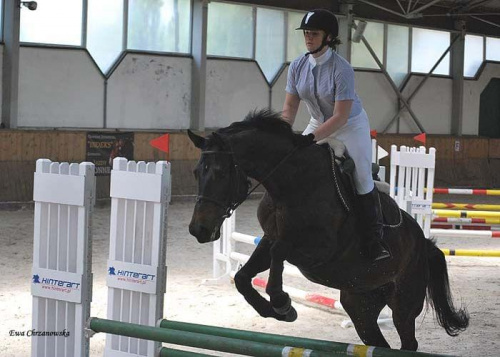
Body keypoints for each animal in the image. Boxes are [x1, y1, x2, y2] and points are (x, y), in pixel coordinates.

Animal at [186, 109, 466, 350]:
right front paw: (276, 310)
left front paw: (282, 302)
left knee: (408, 341)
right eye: (196, 172)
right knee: (378, 341)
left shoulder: (320, 251)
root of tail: (424, 243)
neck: (290, 183)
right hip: (360, 304)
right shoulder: (269, 238)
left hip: (404, 303)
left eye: (220, 173)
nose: (199, 229)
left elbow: (279, 252)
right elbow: (243, 277)